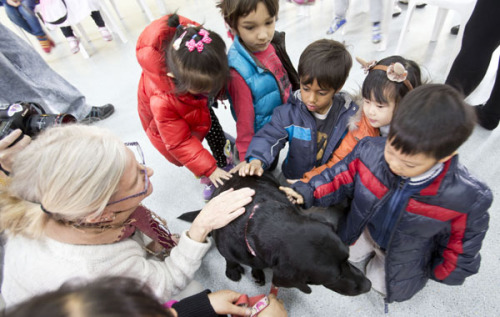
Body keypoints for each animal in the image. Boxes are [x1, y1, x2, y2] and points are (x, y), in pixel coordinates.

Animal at [187, 172, 372, 296]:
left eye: (347, 258)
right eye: (335, 277)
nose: (368, 285)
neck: (258, 220)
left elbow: (256, 264)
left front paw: (257, 271)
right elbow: (229, 258)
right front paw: (232, 269)